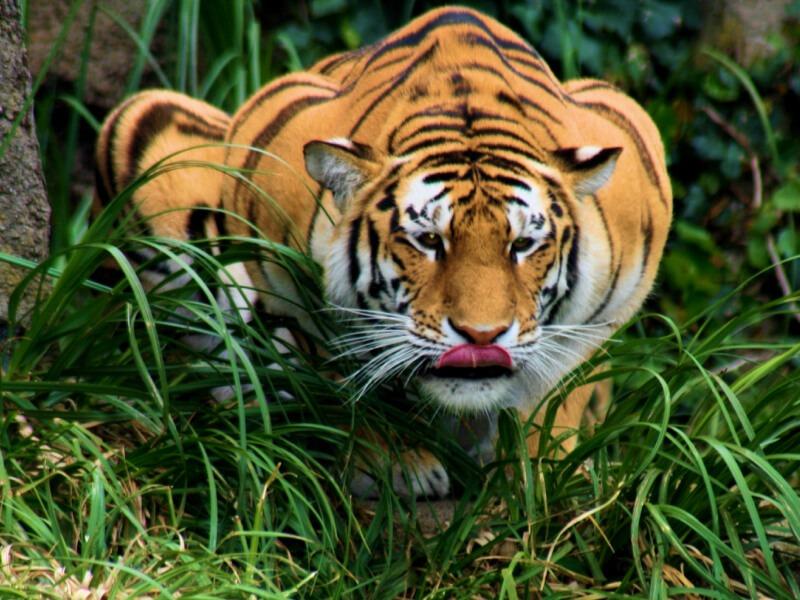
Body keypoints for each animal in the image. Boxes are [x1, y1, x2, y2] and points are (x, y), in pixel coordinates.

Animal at [95, 6, 672, 498]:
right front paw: (395, 465)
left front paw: (544, 471)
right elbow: (344, 374)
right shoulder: (280, 266)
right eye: (429, 241)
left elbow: (559, 388)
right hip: (145, 129)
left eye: (523, 245)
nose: (481, 337)